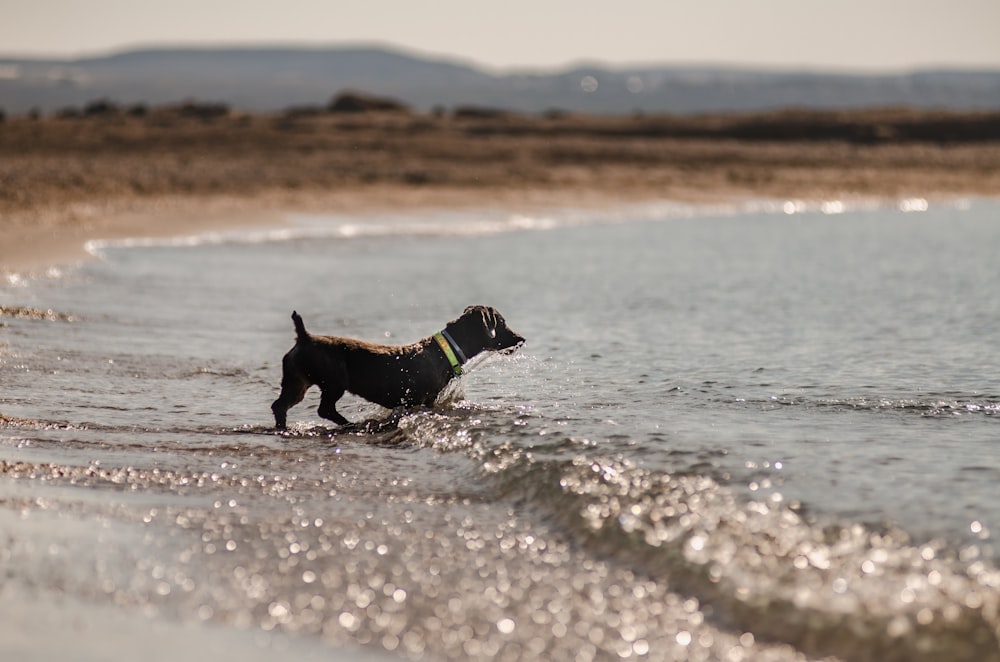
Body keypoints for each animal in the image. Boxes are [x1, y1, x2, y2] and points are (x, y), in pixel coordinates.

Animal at [270, 306, 528, 430]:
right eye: (501, 323)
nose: (522, 338)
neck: (445, 350)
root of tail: (304, 337)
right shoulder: (424, 399)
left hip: (297, 382)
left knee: (280, 406)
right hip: (333, 381)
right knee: (325, 409)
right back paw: (350, 424)